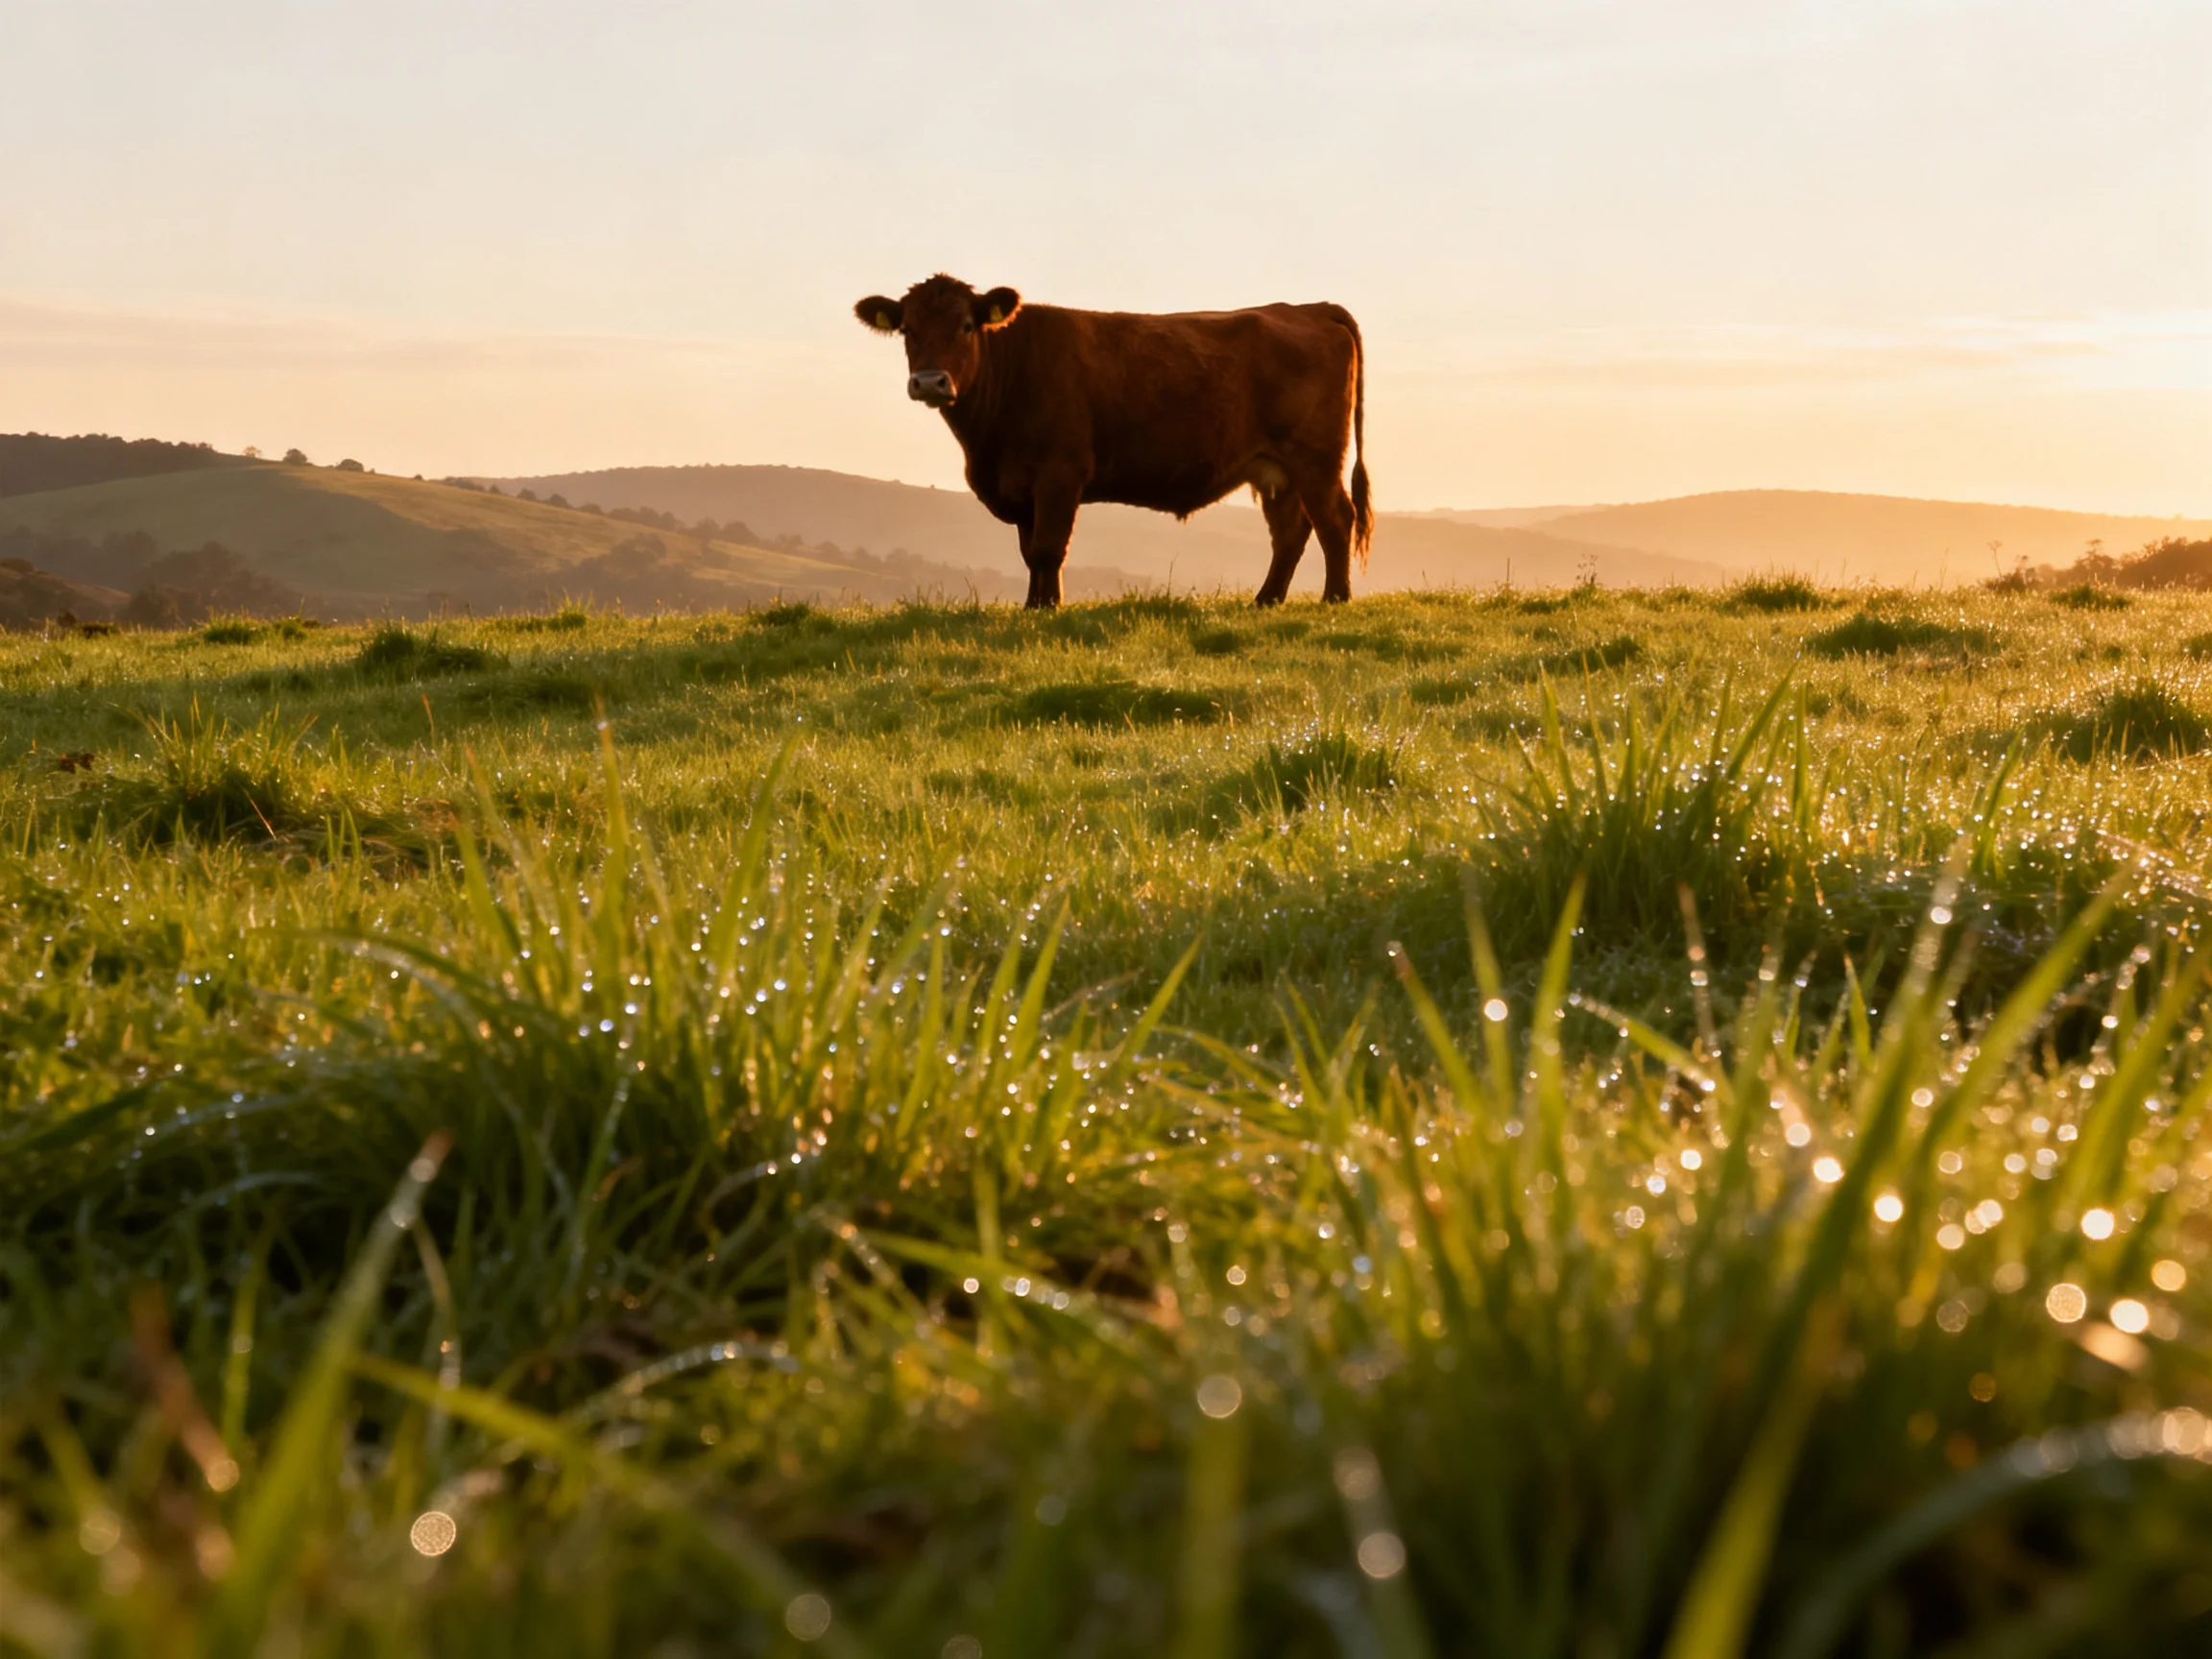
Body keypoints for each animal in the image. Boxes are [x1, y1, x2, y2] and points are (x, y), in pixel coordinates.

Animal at [854, 275, 1370, 609]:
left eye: (966, 325)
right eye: (907, 329)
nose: (929, 381)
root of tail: (1309, 308)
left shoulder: (1060, 474)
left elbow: (1048, 548)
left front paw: (1045, 609)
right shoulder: (1023, 486)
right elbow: (1030, 551)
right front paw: (1035, 605)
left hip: (1315, 459)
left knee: (1335, 520)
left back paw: (1334, 599)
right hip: (1275, 470)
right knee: (1290, 532)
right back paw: (1266, 600)